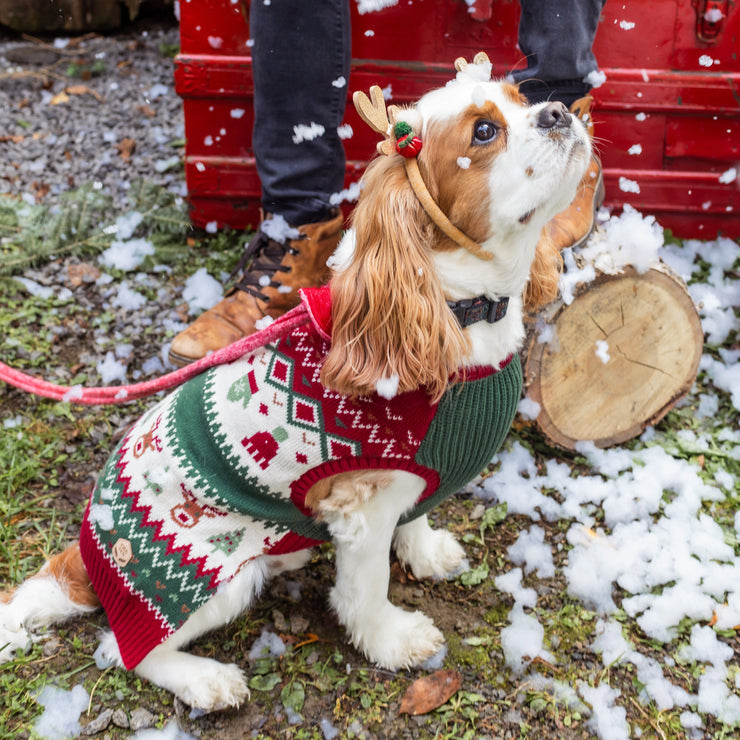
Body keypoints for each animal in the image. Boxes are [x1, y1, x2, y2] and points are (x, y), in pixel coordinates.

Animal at [0, 55, 588, 712]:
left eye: (523, 99)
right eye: (484, 132)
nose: (560, 111)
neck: (456, 310)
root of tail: (84, 554)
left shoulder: (417, 474)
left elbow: (415, 518)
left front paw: (427, 551)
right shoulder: (362, 503)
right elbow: (367, 588)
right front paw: (391, 641)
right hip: (214, 574)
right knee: (125, 651)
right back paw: (207, 680)